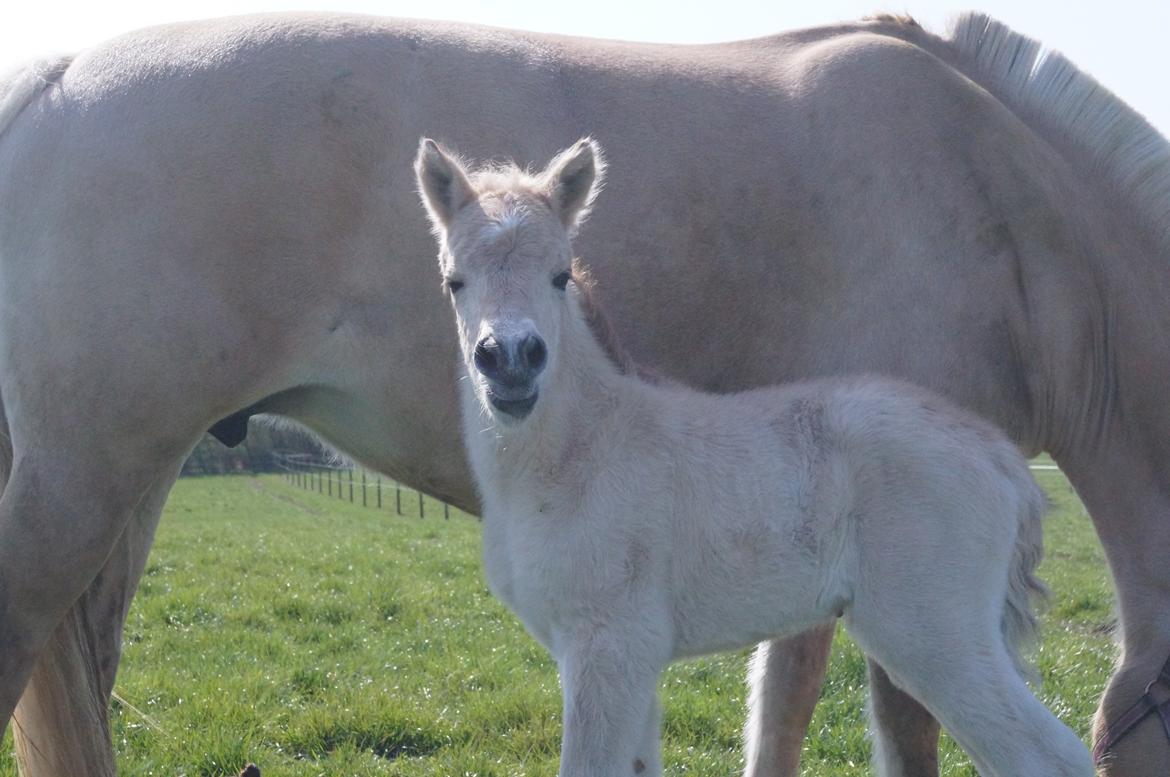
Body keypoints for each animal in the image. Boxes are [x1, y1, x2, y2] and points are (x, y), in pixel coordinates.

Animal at [414, 139, 1095, 777]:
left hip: (935, 636)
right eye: (454, 280)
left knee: (1047, 755)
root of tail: (999, 456)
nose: (511, 362)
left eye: (559, 275)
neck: (580, 452)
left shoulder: (608, 646)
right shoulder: (628, 659)